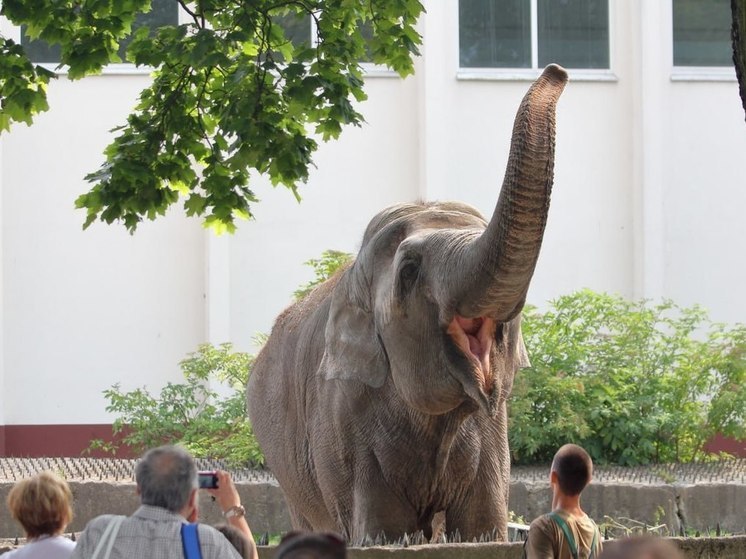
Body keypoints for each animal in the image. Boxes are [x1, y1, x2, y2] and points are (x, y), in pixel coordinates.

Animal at [247, 63, 568, 544]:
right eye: (410, 270)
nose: (557, 70)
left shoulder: (493, 440)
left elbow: (481, 528)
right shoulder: (343, 419)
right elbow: (383, 533)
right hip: (285, 465)